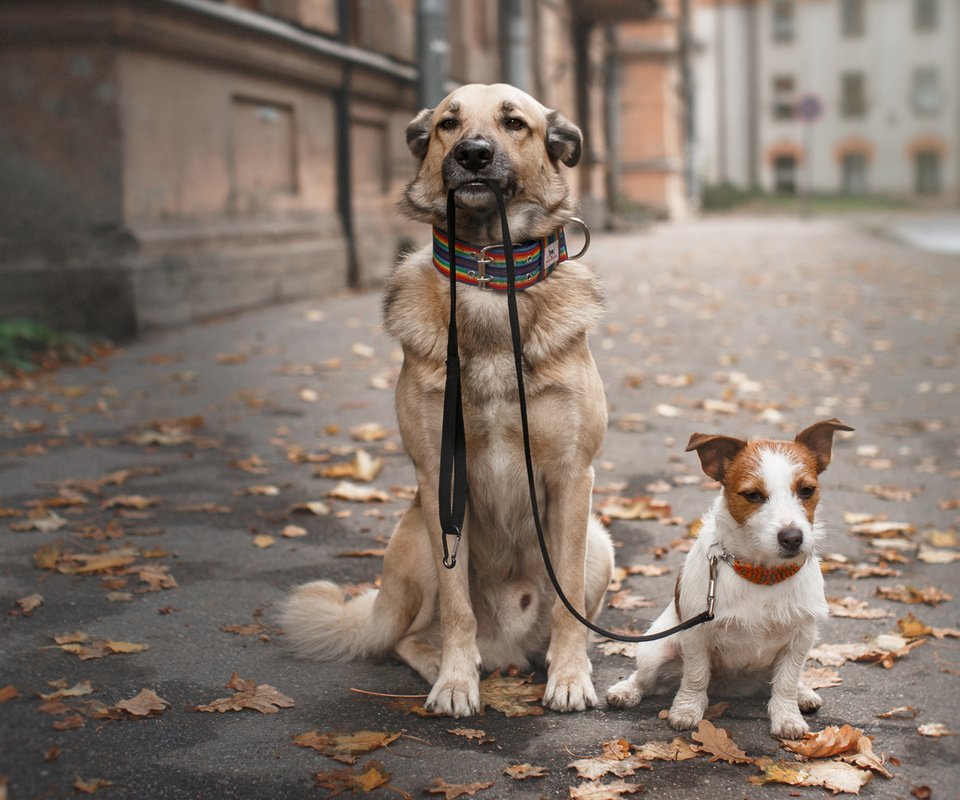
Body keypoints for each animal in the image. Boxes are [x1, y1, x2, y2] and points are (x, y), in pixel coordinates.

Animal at [282, 86, 616, 720]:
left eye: (515, 123)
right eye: (447, 123)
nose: (474, 154)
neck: (489, 277)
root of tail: (508, 647)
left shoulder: (572, 478)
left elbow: (567, 604)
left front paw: (569, 677)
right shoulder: (441, 479)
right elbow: (457, 605)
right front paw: (457, 681)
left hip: (598, 543)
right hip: (415, 531)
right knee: (408, 637)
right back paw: (446, 663)